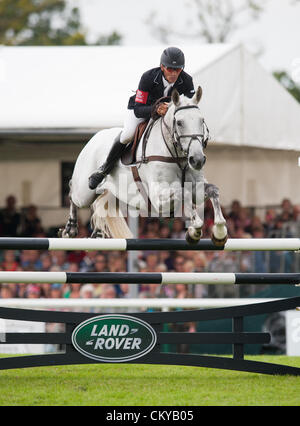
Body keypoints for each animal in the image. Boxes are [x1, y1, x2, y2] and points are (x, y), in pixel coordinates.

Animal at [58, 86, 227, 245]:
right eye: (179, 122)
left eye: (201, 121)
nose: (197, 160)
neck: (177, 156)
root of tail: (95, 137)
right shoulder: (159, 196)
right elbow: (182, 192)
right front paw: (194, 231)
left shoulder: (196, 188)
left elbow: (213, 190)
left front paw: (220, 233)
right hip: (84, 192)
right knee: (73, 191)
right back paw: (70, 229)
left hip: (116, 194)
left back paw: (97, 234)